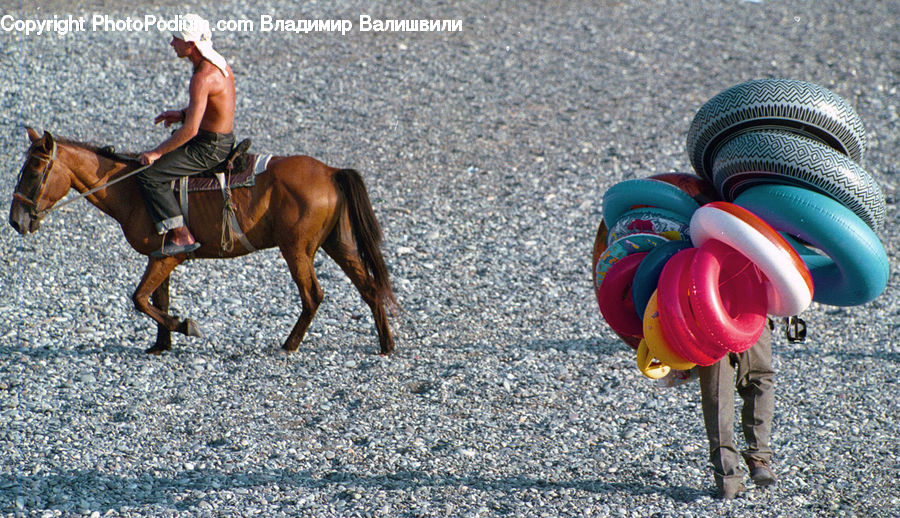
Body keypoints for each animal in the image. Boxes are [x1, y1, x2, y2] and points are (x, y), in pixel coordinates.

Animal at [9, 127, 398, 355]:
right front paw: (161, 345)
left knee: (313, 295)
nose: (16, 220)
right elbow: (158, 299)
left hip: (297, 250)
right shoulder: (160, 256)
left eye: (34, 171)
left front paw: (184, 326)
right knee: (369, 287)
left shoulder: (168, 256)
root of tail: (331, 172)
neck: (131, 189)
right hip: (338, 244)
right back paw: (386, 343)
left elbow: (140, 299)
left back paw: (289, 345)